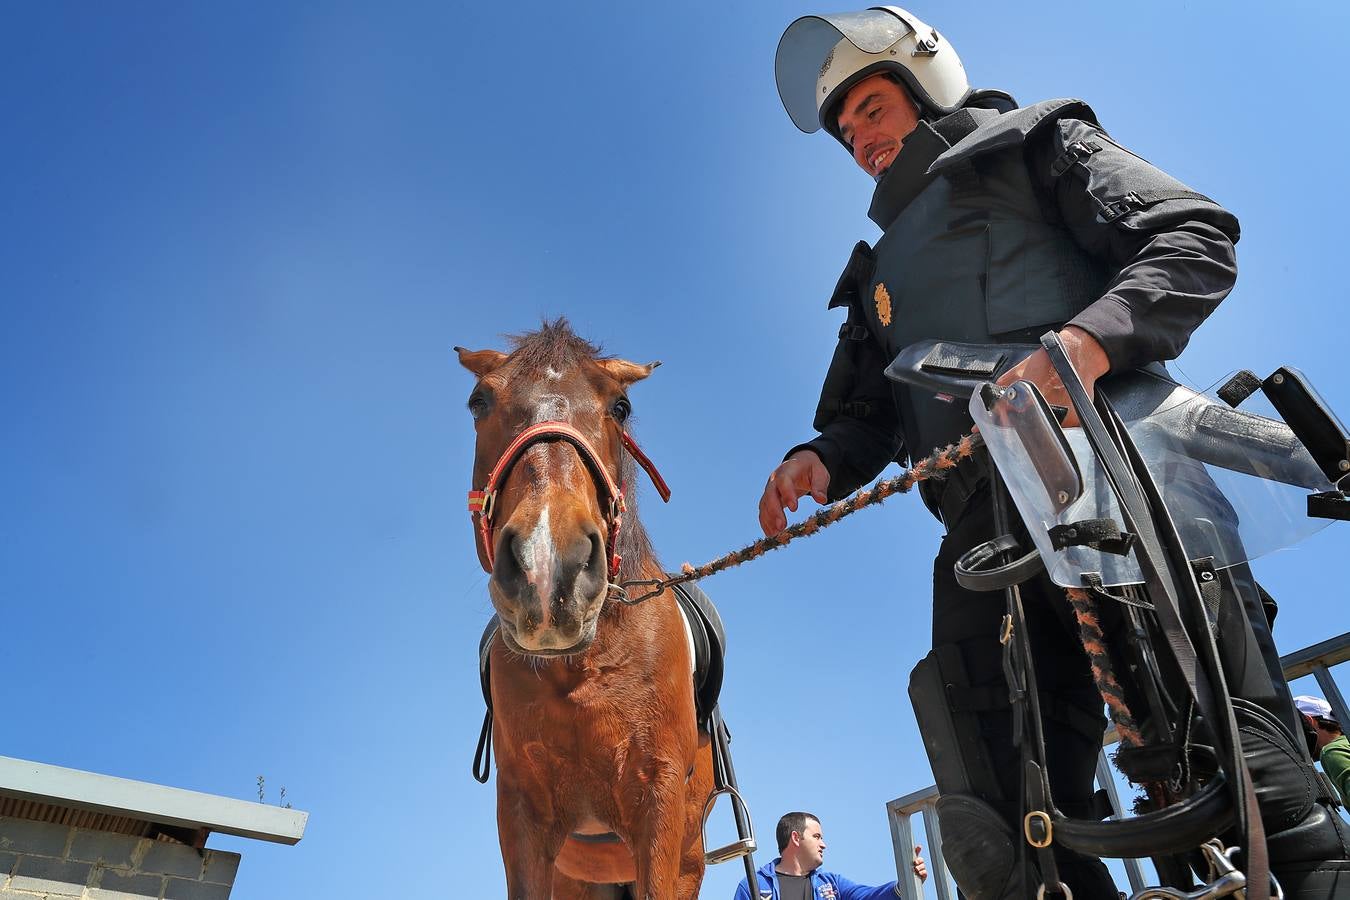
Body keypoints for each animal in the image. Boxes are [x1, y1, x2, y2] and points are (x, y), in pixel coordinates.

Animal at [456, 323, 712, 900]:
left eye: (620, 406)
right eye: (478, 401)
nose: (548, 563)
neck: (583, 668)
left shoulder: (660, 808)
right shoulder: (523, 818)